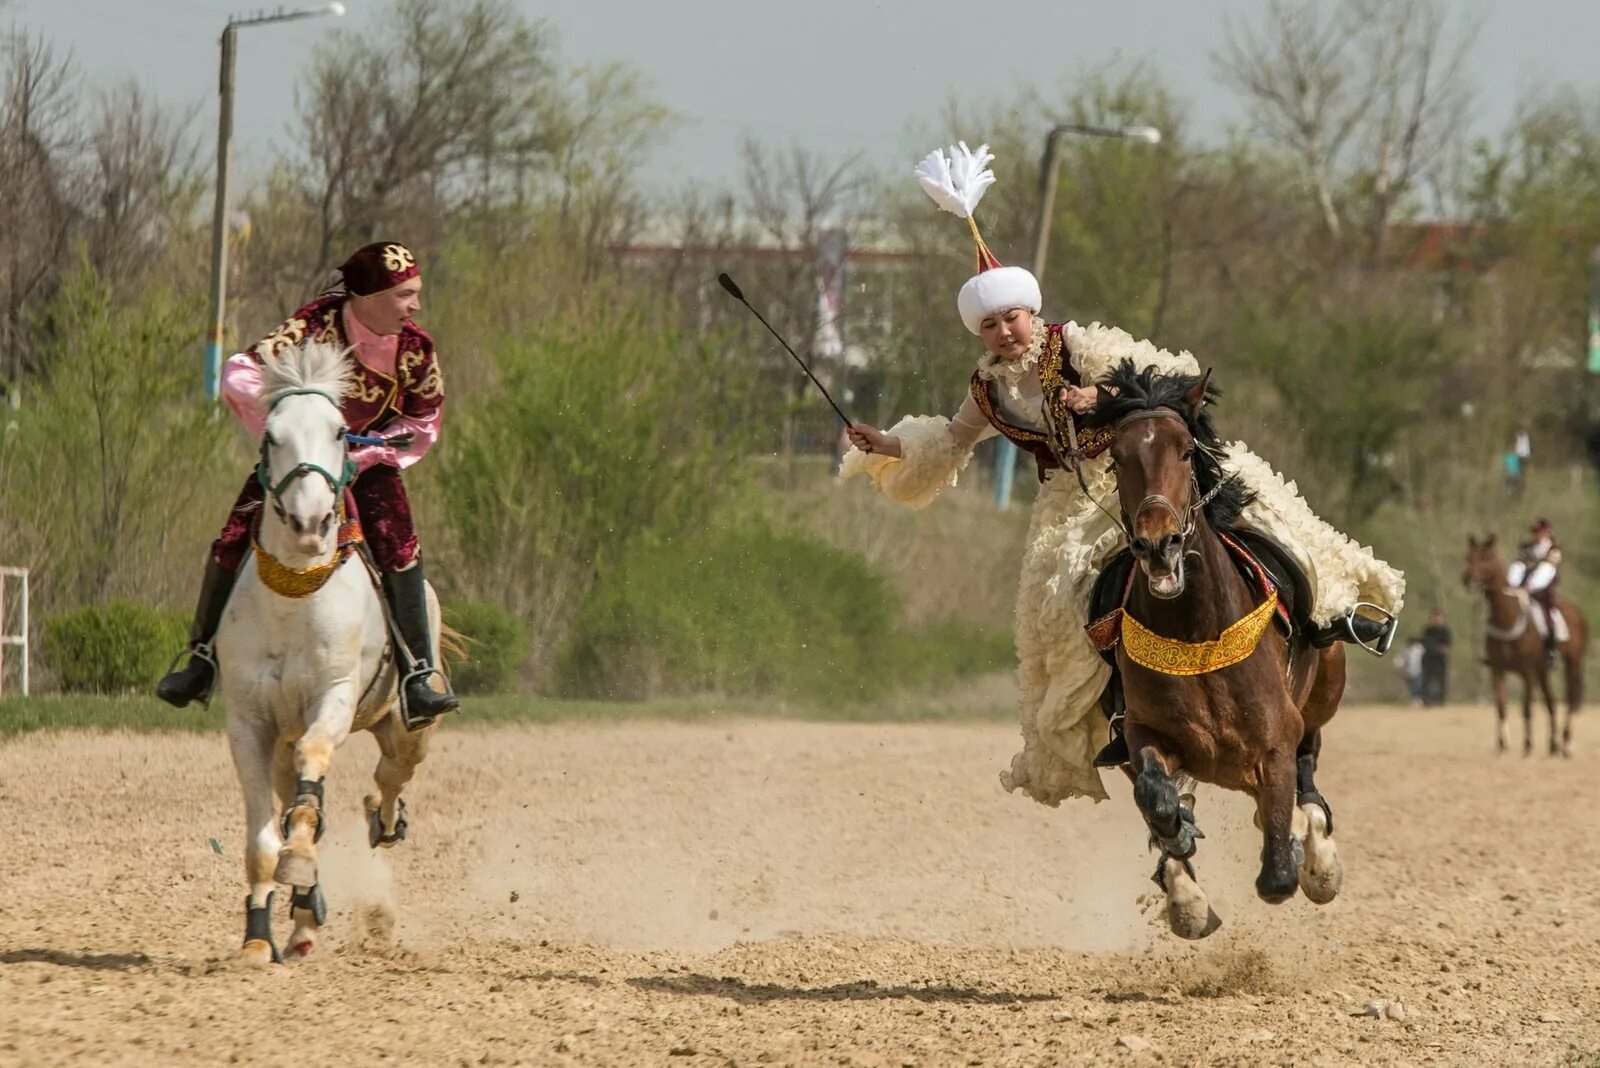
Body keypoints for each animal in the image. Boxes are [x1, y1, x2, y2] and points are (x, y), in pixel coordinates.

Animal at [216, 342, 448, 965]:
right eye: (272, 435)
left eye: (341, 431)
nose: (308, 522)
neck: (292, 600)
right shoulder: (249, 724)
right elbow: (262, 839)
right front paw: (257, 938)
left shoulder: (334, 701)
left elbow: (314, 768)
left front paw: (299, 860)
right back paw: (301, 920)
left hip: (409, 729)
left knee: (390, 775)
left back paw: (383, 821)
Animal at [1088, 362, 1350, 940]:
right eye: (1118, 457)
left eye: (1186, 450)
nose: (1157, 545)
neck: (1196, 635)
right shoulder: (1146, 732)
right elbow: (1154, 793)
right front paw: (1179, 850)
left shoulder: (1275, 737)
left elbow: (1278, 873)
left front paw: (1302, 854)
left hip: (1323, 692)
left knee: (1309, 766)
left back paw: (1319, 857)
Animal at [1465, 537, 1587, 754]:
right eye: (1468, 557)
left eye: (1485, 558)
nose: (1468, 579)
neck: (1507, 618)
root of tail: (1577, 613)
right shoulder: (1497, 670)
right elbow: (1501, 707)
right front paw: (1502, 744)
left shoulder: (1527, 672)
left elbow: (1526, 708)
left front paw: (1528, 745)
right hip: (1543, 672)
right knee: (1550, 702)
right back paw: (1553, 745)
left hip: (1572, 664)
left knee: (1570, 697)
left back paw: (1566, 743)